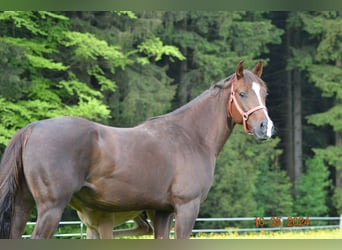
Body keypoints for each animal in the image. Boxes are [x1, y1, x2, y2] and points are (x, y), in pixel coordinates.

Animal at [0, 60, 274, 238]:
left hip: (23, 206)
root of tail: (32, 129)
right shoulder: (187, 208)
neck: (190, 136)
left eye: (265, 93)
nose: (265, 127)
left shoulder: (161, 212)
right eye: (242, 93)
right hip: (51, 208)